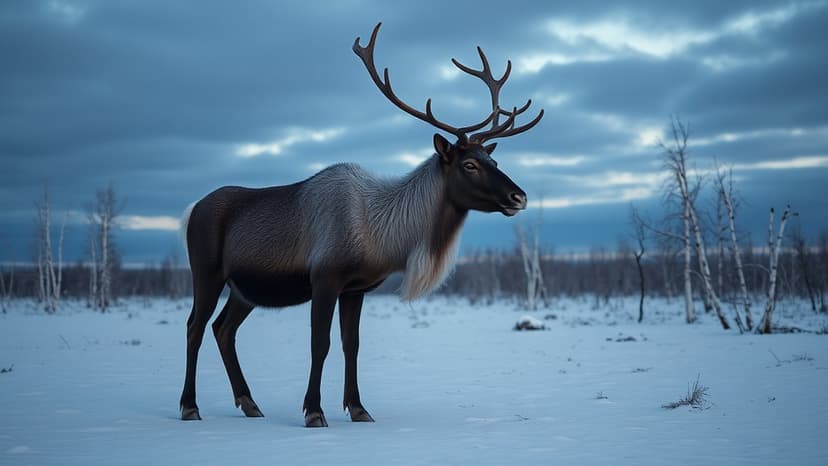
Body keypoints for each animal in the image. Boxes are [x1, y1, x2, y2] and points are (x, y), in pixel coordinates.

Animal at [179, 22, 543, 427]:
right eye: (469, 165)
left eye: (492, 161)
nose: (519, 197)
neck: (386, 238)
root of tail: (190, 211)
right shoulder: (324, 278)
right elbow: (319, 344)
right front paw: (314, 411)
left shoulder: (356, 289)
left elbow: (351, 345)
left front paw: (358, 408)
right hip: (207, 271)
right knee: (195, 327)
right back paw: (190, 406)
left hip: (244, 288)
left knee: (223, 329)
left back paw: (249, 402)